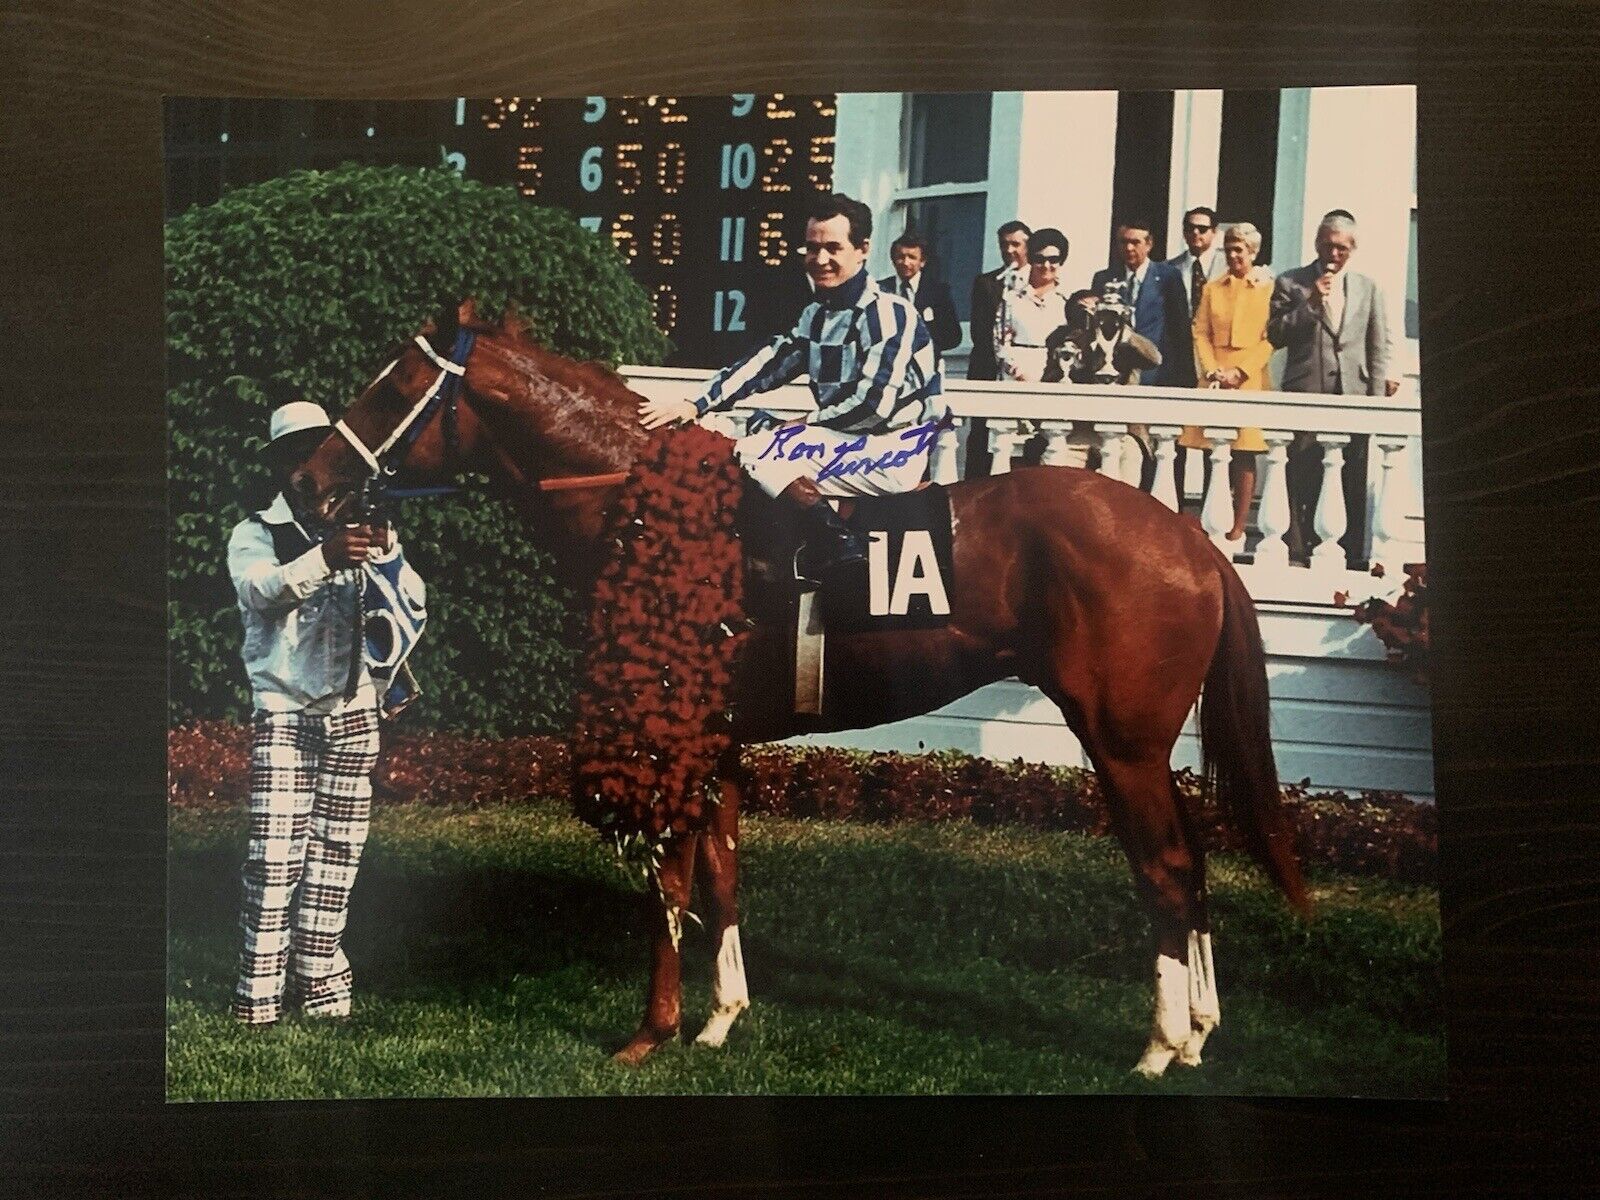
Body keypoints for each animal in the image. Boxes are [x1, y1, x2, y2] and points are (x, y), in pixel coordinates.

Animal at [294, 300, 1305, 1081]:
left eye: (393, 388)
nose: (304, 483)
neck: (638, 508)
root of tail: (1194, 539)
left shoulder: (674, 731)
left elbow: (669, 880)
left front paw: (650, 1034)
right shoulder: (723, 738)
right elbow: (723, 874)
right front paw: (718, 1021)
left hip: (1119, 739)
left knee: (1164, 868)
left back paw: (1161, 1044)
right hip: (1144, 743)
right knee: (1193, 862)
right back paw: (1200, 1032)